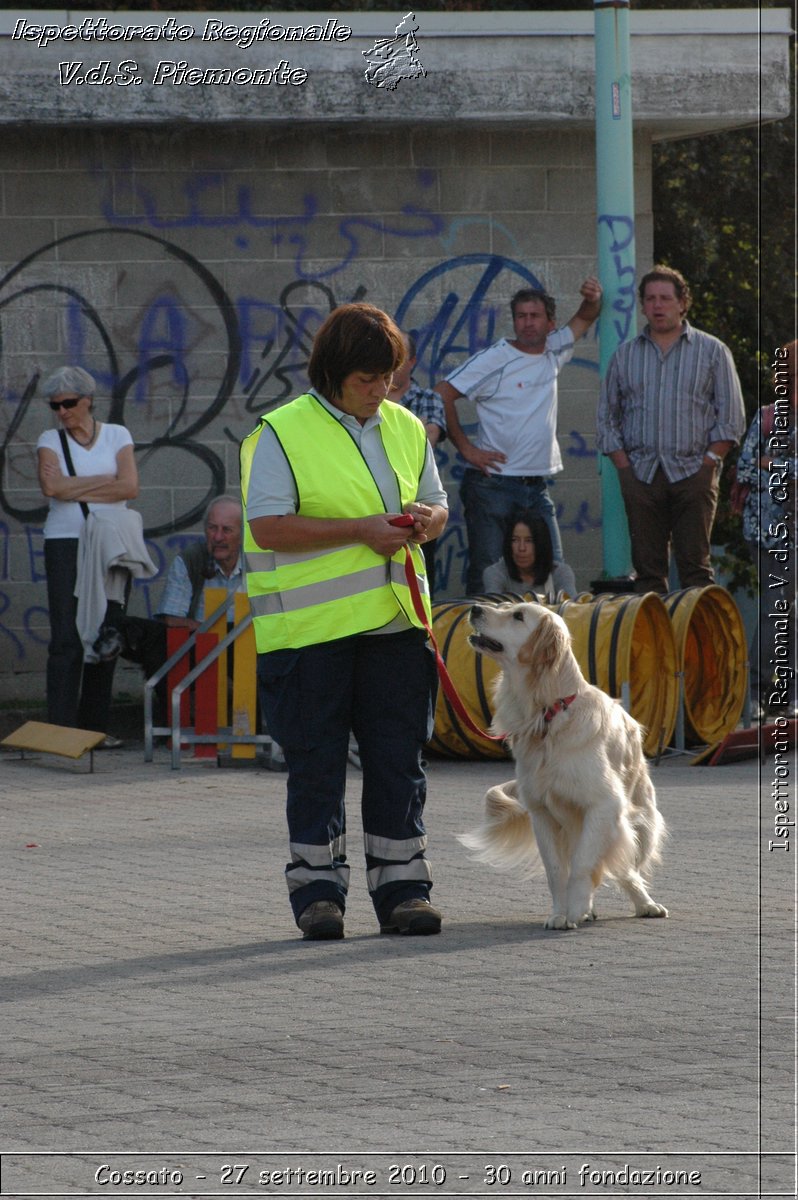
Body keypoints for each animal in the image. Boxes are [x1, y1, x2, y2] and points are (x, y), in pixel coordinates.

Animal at [453, 604, 667, 931]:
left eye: (518, 616)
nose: (474, 607)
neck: (548, 714)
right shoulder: (541, 813)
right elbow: (556, 871)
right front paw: (559, 914)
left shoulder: (604, 805)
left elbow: (582, 865)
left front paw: (576, 909)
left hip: (641, 820)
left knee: (626, 866)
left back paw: (646, 904)